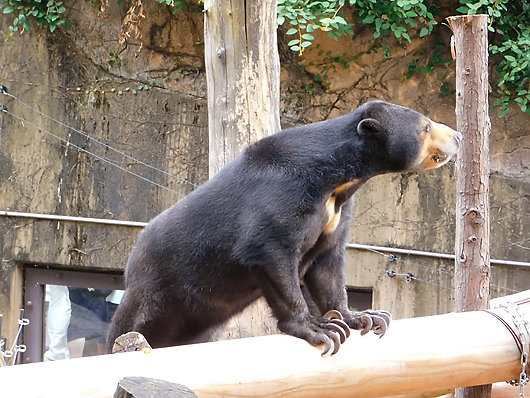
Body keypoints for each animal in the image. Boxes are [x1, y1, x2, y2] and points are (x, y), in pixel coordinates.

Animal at [106, 99, 458, 354]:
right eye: (427, 126)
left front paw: (366, 317)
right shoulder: (283, 195)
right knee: (127, 328)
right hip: (154, 291)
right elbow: (271, 250)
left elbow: (327, 264)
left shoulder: (338, 212)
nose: (458, 136)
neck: (341, 180)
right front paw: (321, 329)